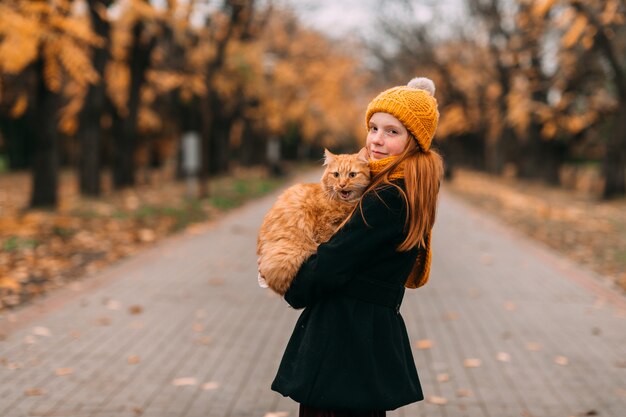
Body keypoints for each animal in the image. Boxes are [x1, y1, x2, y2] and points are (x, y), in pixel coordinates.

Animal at [255, 148, 368, 294]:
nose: (342, 184)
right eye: (336, 175)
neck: (343, 204)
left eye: (352, 175)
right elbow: (324, 240)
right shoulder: (323, 228)